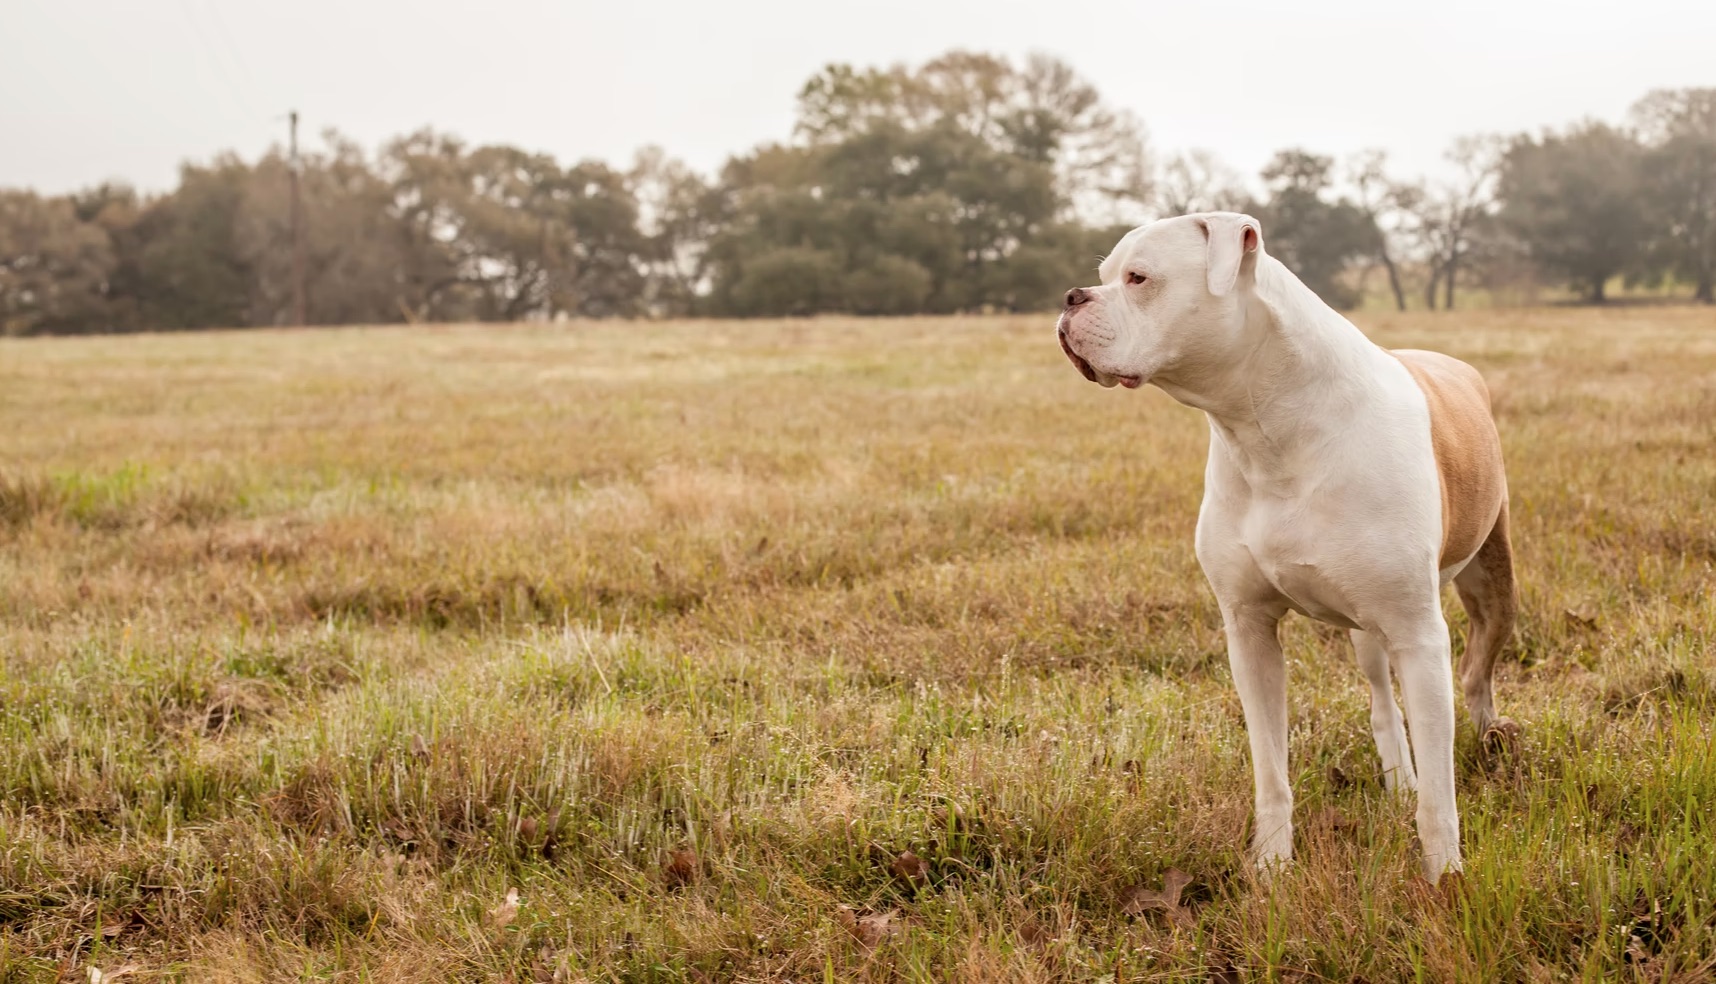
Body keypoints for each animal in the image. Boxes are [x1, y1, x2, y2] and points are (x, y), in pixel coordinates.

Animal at [1057, 211, 1516, 879]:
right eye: (1104, 275)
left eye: (1139, 278)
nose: (1071, 298)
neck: (1265, 425)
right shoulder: (1249, 631)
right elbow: (1271, 768)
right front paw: (1271, 867)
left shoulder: (1419, 633)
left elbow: (1440, 794)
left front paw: (1445, 879)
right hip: (1367, 632)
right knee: (1383, 700)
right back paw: (1398, 780)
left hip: (1489, 586)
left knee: (1479, 673)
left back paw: (1491, 745)